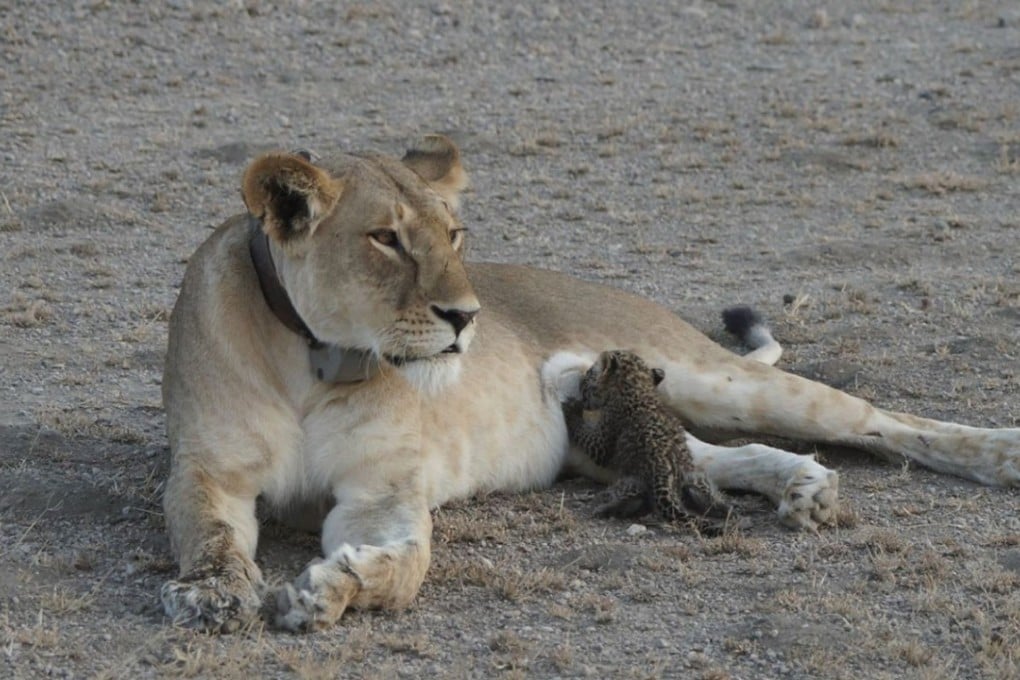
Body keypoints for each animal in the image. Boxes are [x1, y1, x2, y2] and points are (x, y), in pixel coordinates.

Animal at [159, 134, 1020, 634]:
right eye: (385, 240)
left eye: (454, 235)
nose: (467, 317)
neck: (317, 358)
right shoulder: (205, 470)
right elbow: (208, 532)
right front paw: (211, 593)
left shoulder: (383, 490)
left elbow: (405, 566)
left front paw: (331, 589)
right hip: (609, 435)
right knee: (712, 456)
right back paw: (803, 486)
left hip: (713, 377)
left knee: (879, 420)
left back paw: (997, 452)